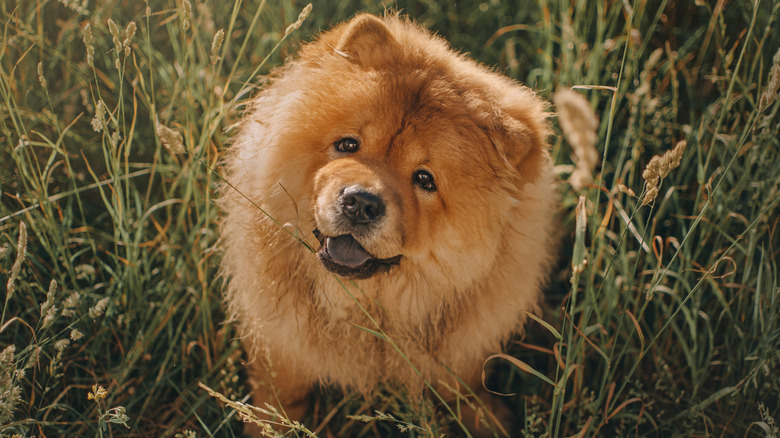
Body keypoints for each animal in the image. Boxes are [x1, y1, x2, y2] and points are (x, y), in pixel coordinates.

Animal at [219, 12, 556, 434]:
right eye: (348, 144)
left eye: (425, 180)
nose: (361, 203)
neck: (367, 313)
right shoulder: (280, 342)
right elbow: (282, 394)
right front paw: (271, 424)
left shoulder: (464, 346)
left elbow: (463, 386)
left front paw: (485, 419)